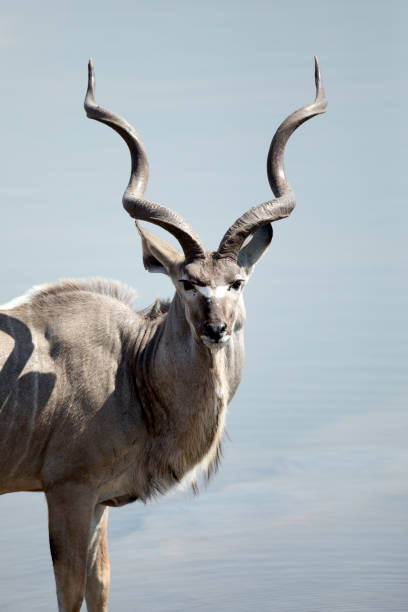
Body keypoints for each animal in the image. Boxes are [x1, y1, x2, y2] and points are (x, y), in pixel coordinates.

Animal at [0, 56, 326, 608]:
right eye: (187, 283)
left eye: (237, 282)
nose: (216, 329)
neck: (130, 369)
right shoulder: (66, 491)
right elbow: (70, 592)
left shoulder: (97, 501)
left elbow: (100, 585)